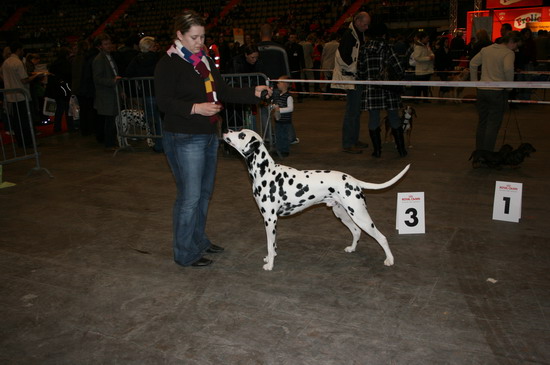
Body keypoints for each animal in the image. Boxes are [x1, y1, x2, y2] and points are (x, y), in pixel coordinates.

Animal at [223, 129, 410, 268]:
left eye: (241, 135)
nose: (227, 131)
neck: (265, 172)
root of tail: (354, 181)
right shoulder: (271, 220)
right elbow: (273, 244)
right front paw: (271, 257)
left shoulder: (270, 218)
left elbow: (270, 244)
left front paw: (270, 264)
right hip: (342, 214)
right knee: (356, 232)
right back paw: (352, 248)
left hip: (360, 216)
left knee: (381, 237)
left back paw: (390, 260)